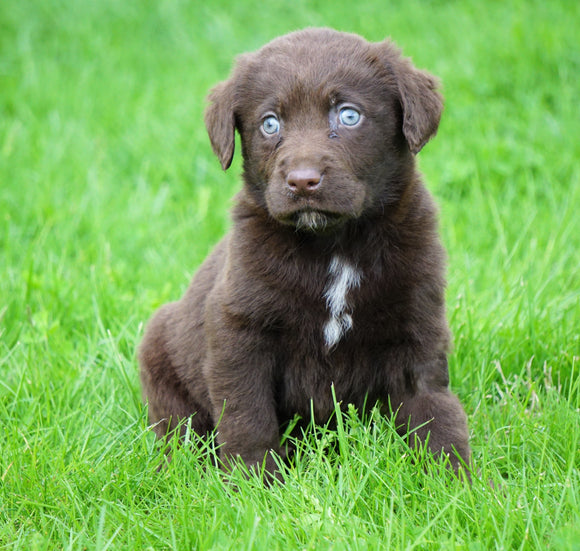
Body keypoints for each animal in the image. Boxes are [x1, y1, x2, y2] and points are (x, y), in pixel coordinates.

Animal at [139, 28, 472, 480]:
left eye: (348, 115)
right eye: (269, 123)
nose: (302, 181)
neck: (335, 245)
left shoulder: (417, 328)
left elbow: (436, 412)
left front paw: (459, 483)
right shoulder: (238, 332)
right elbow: (247, 415)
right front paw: (253, 483)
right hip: (158, 351)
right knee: (179, 432)